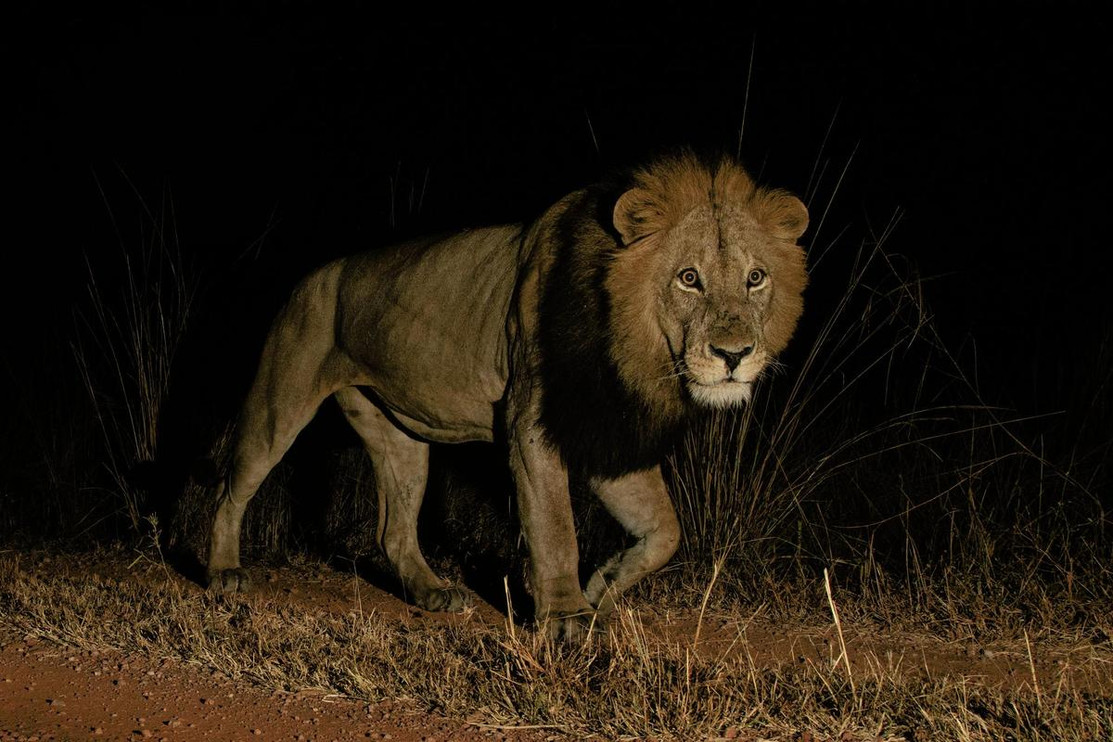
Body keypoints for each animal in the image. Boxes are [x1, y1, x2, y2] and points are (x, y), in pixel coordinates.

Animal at [206, 150, 809, 638]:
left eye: (756, 278)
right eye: (688, 278)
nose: (734, 354)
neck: (633, 345)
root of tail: (310, 277)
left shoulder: (605, 426)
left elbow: (666, 532)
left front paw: (602, 585)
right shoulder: (530, 423)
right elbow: (556, 527)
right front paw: (566, 617)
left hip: (398, 435)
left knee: (393, 529)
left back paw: (433, 593)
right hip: (279, 400)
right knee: (231, 488)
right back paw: (222, 573)